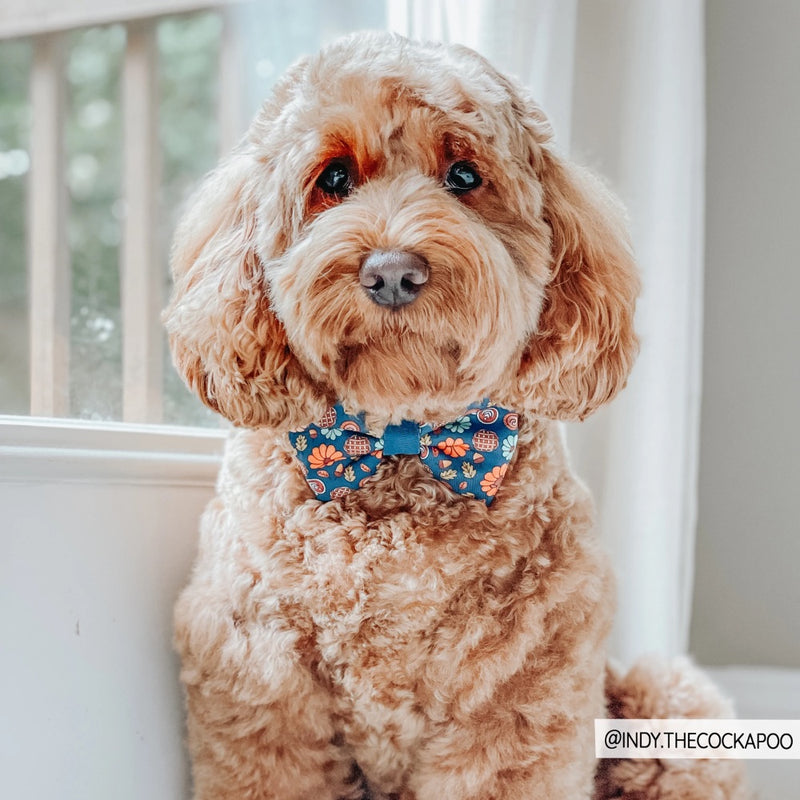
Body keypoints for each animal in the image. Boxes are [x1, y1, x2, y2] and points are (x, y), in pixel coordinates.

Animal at [164, 31, 752, 800]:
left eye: (465, 175)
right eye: (334, 178)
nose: (391, 272)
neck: (402, 441)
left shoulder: (516, 696)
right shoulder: (261, 682)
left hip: (676, 714)